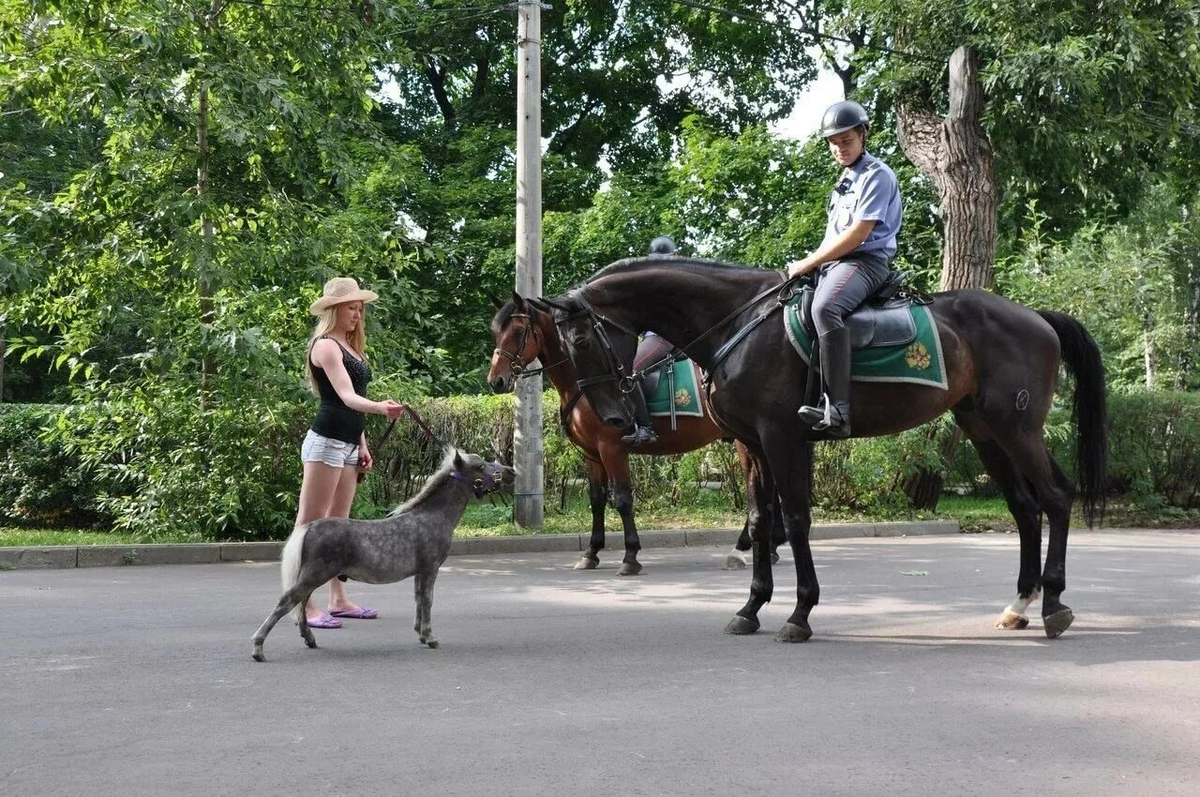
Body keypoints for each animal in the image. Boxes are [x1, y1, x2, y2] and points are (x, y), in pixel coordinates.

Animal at [487, 292, 787, 573]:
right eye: (496, 332)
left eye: (517, 332)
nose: (496, 380)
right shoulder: (591, 454)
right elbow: (597, 500)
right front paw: (591, 552)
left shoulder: (612, 449)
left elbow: (622, 499)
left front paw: (630, 555)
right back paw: (769, 547)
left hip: (745, 441)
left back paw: (743, 547)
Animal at [540, 255, 1108, 643]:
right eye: (564, 345)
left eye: (583, 341)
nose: (612, 415)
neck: (737, 324)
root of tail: (1034, 316)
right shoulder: (754, 445)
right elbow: (761, 519)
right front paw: (751, 608)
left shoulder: (782, 438)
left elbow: (793, 521)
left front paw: (799, 613)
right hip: (984, 430)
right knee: (1025, 508)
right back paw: (1020, 604)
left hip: (1017, 428)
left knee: (1056, 497)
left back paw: (1054, 604)